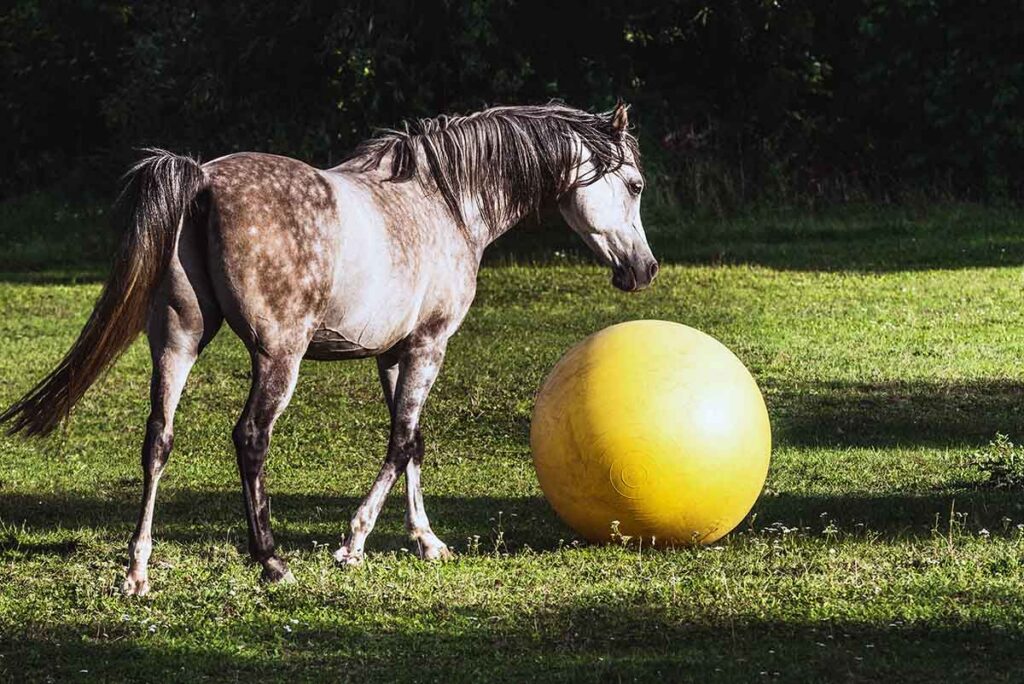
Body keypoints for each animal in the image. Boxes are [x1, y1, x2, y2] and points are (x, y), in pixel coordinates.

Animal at [0, 102, 658, 595]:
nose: (644, 269)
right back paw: (271, 561)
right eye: (633, 185)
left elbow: (411, 440)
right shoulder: (428, 345)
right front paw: (352, 543)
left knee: (157, 439)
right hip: (278, 358)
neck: (445, 201)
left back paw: (137, 570)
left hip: (178, 339)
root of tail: (204, 178)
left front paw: (426, 541)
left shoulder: (392, 355)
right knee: (250, 438)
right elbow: (401, 442)